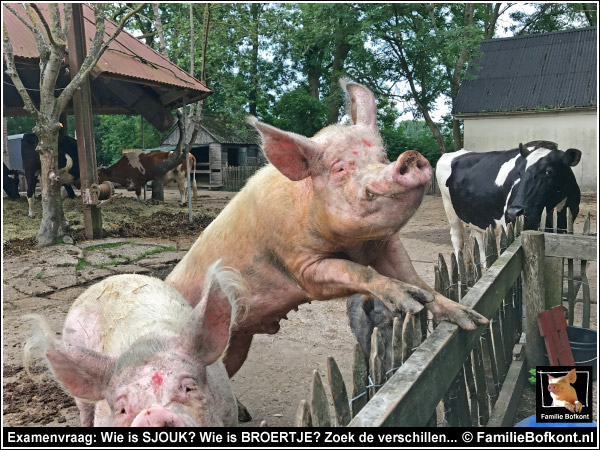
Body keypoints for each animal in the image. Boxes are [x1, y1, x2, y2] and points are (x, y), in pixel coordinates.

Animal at [22, 262, 245, 428]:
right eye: (122, 409)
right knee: (84, 411)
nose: (152, 415)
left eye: (189, 388)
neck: (147, 341)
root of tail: (110, 279)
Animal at [165, 80, 488, 376]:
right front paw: (409, 303)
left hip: (240, 336)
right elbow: (356, 271)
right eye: (339, 168)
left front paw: (471, 319)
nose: (409, 157)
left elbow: (414, 277)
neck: (354, 244)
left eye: (382, 157)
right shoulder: (302, 266)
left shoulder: (386, 244)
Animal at [436, 141, 580, 266]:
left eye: (549, 171)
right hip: (449, 207)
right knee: (457, 238)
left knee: (478, 238)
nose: (513, 212)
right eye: (519, 172)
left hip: (473, 213)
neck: (557, 208)